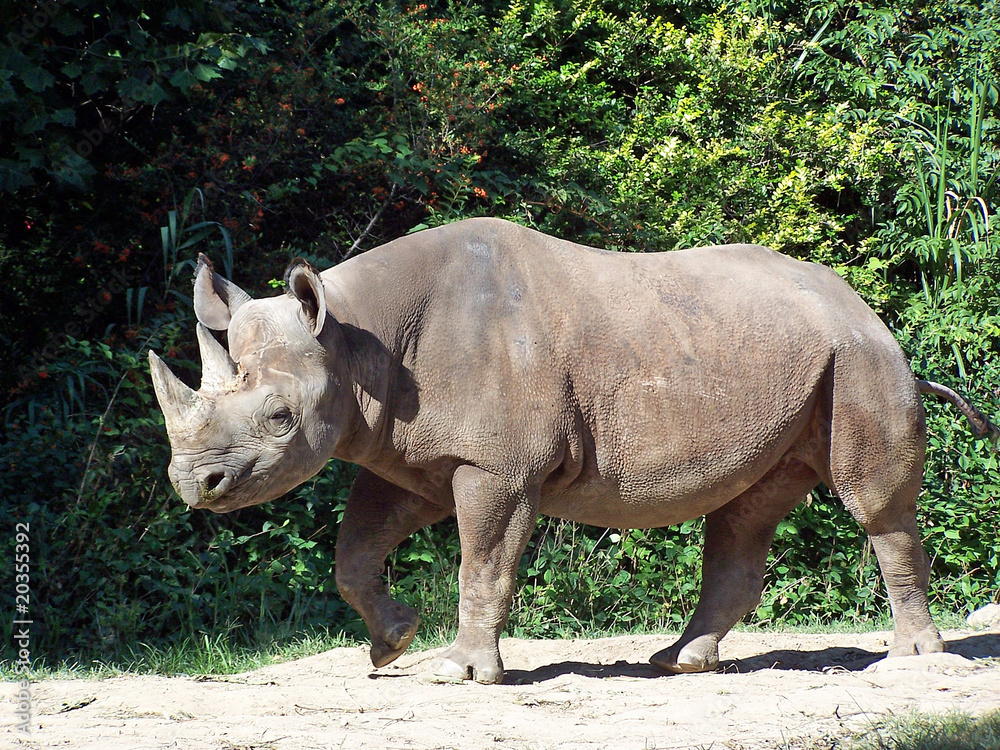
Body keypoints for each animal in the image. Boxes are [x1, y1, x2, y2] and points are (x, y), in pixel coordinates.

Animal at [149, 217, 997, 684]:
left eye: (279, 419)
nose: (195, 485)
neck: (354, 338)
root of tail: (866, 308)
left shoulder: (495, 467)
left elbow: (481, 563)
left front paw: (459, 673)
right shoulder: (412, 456)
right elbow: (352, 553)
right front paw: (392, 645)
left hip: (859, 358)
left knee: (872, 505)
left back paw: (911, 660)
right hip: (779, 356)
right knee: (746, 511)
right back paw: (678, 662)